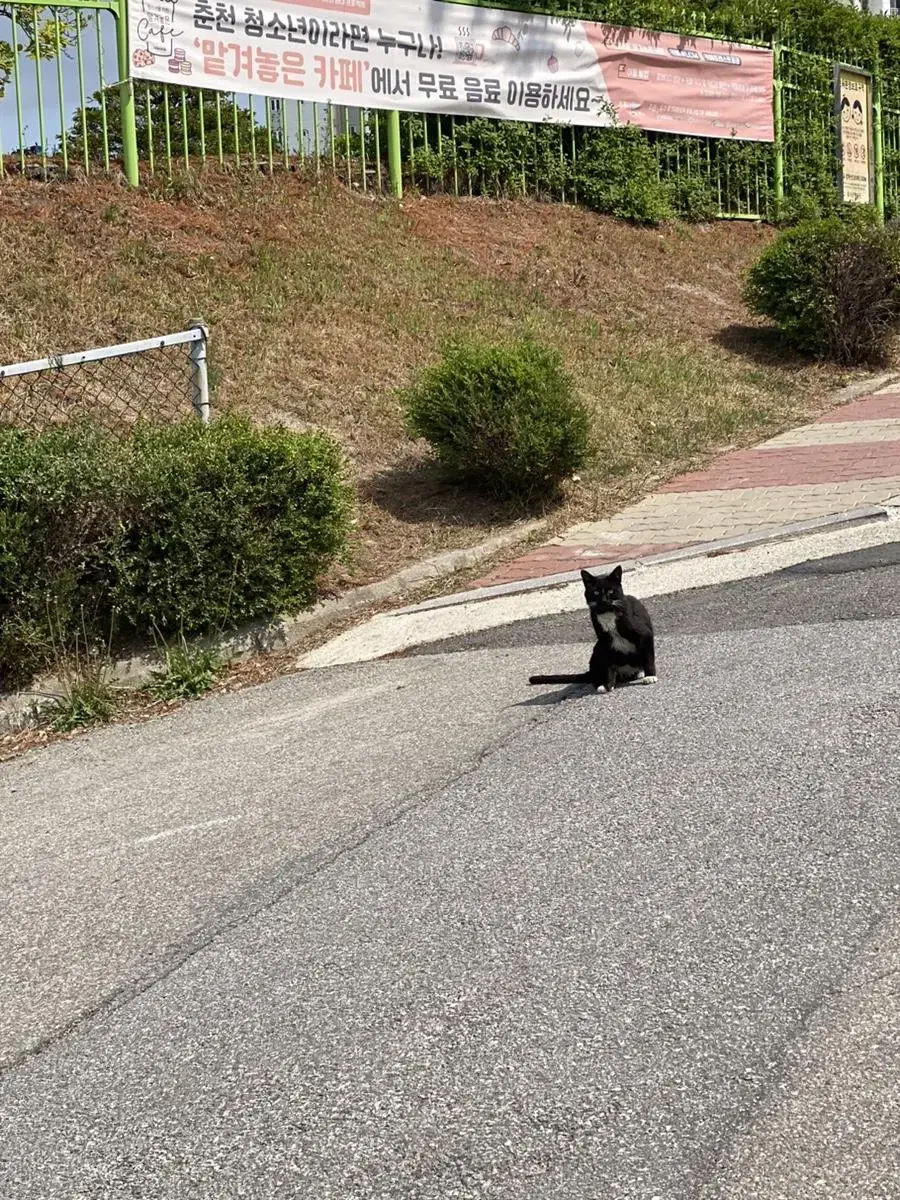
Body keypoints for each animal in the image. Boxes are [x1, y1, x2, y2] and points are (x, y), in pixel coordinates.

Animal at [528, 564, 662, 696]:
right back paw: (601, 683)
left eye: (610, 591)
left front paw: (650, 676)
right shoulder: (605, 642)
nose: (604, 600)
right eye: (596, 592)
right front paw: (608, 685)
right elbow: (609, 665)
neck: (607, 613)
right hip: (597, 648)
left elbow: (648, 657)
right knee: (598, 674)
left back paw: (640, 673)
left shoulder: (644, 634)